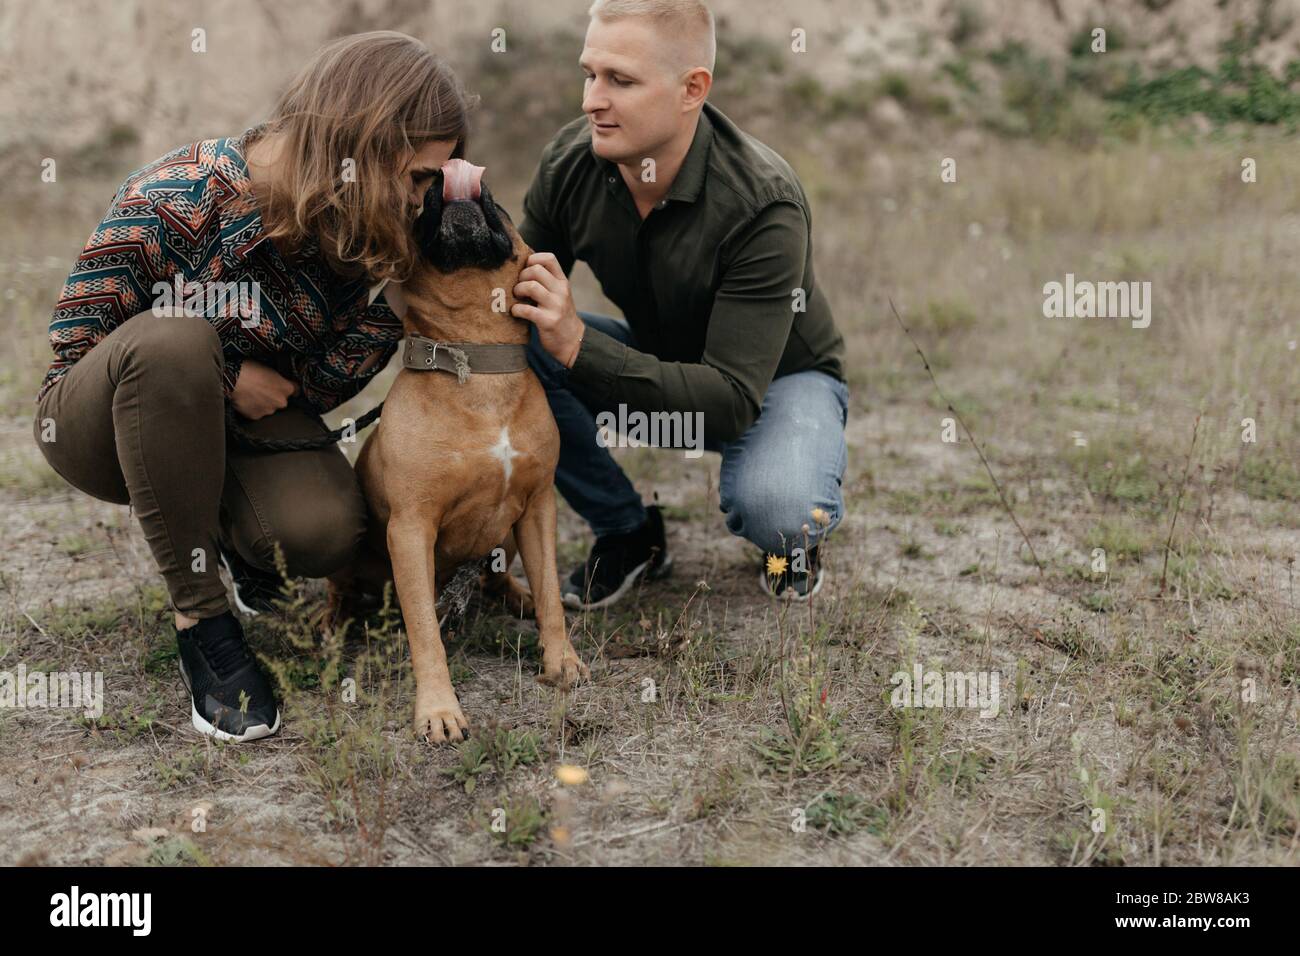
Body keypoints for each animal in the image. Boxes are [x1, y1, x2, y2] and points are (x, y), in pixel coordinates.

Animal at [325, 158, 590, 738]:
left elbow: (553, 595)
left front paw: (561, 661)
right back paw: (331, 623)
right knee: (344, 588)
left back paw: (516, 596)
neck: (476, 358)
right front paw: (438, 710)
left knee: (501, 575)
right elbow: (425, 630)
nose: (441, 180)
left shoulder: (538, 507)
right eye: (412, 208)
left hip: (508, 532)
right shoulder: (410, 530)